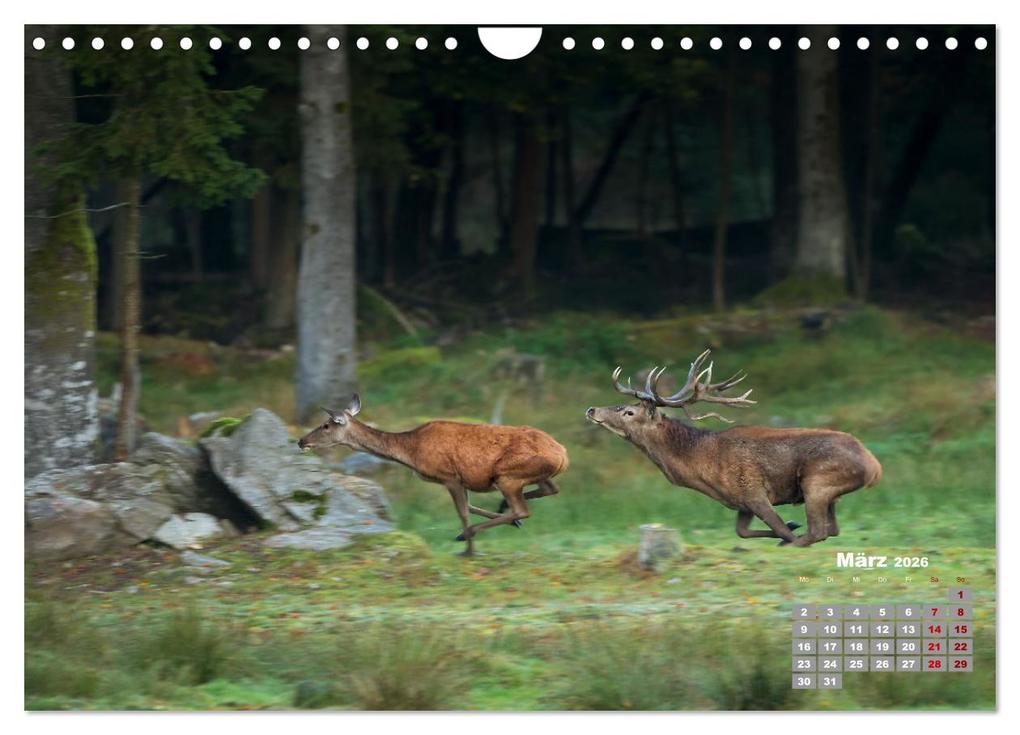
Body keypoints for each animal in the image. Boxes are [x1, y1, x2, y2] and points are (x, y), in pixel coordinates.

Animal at [297, 394, 569, 555]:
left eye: (326, 425)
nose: (301, 441)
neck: (411, 452)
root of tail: (563, 454)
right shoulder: (463, 479)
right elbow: (471, 507)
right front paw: (507, 523)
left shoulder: (449, 476)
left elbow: (462, 512)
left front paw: (469, 549)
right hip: (529, 475)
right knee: (550, 489)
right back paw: (505, 510)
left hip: (507, 476)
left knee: (524, 507)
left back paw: (470, 532)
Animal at [586, 349, 882, 547]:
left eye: (628, 412)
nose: (591, 409)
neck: (704, 469)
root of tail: (874, 466)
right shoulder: (742, 502)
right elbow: (743, 532)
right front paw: (790, 523)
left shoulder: (754, 491)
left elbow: (780, 529)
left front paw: (789, 528)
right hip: (829, 493)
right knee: (832, 529)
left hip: (817, 482)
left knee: (819, 531)